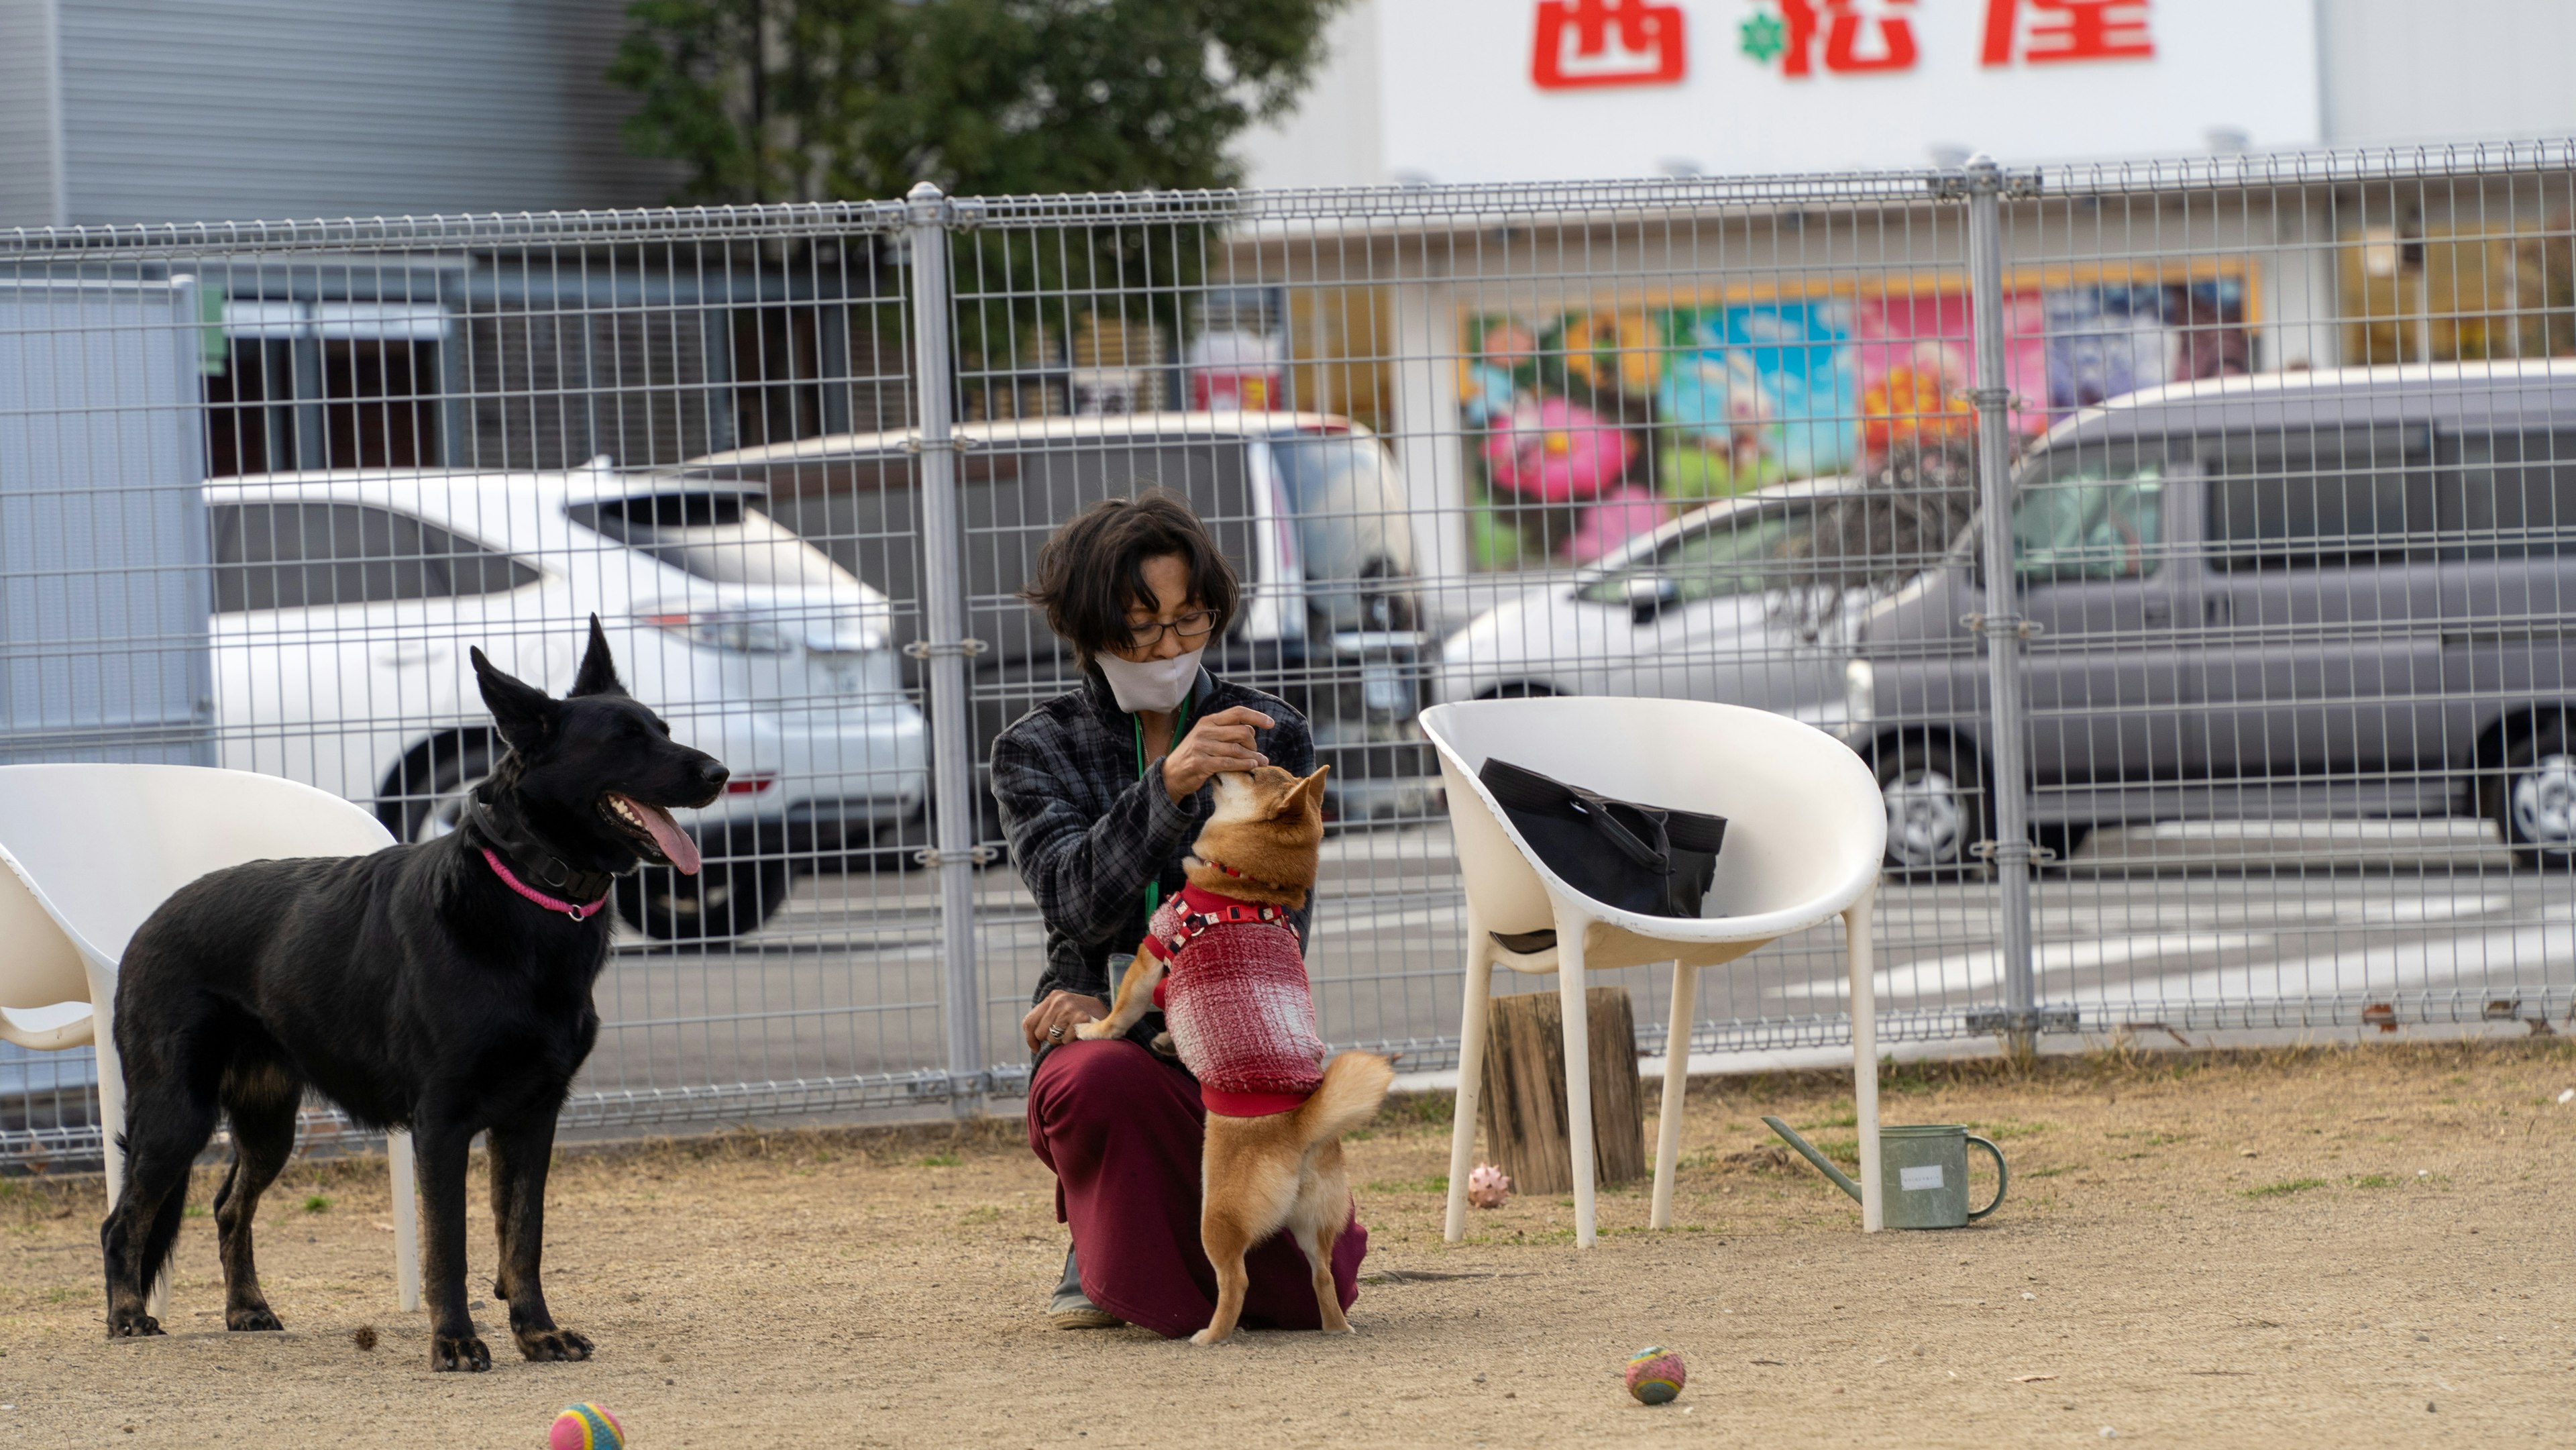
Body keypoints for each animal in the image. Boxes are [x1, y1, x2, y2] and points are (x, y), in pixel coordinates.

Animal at [100, 621, 726, 1370]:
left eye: (663, 729)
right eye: (625, 739)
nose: (721, 774)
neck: (529, 887)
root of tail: (148, 922)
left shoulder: (532, 1119)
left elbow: (524, 1237)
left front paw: (537, 1331)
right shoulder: (443, 1122)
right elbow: (449, 1245)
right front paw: (455, 1340)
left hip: (270, 1124)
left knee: (228, 1204)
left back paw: (246, 1308)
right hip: (177, 1115)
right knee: (122, 1220)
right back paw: (127, 1315)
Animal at [1071, 767, 1391, 1349]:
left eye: (1255, 769)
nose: (1242, 756)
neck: (1246, 885)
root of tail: (1301, 1126)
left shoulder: (1152, 954)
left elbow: (1123, 1011)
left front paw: (1094, 1030)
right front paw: (1166, 1042)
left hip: (1216, 1216)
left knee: (1236, 1279)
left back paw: (1209, 1335)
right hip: (1319, 1223)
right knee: (1323, 1276)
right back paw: (1336, 1327)